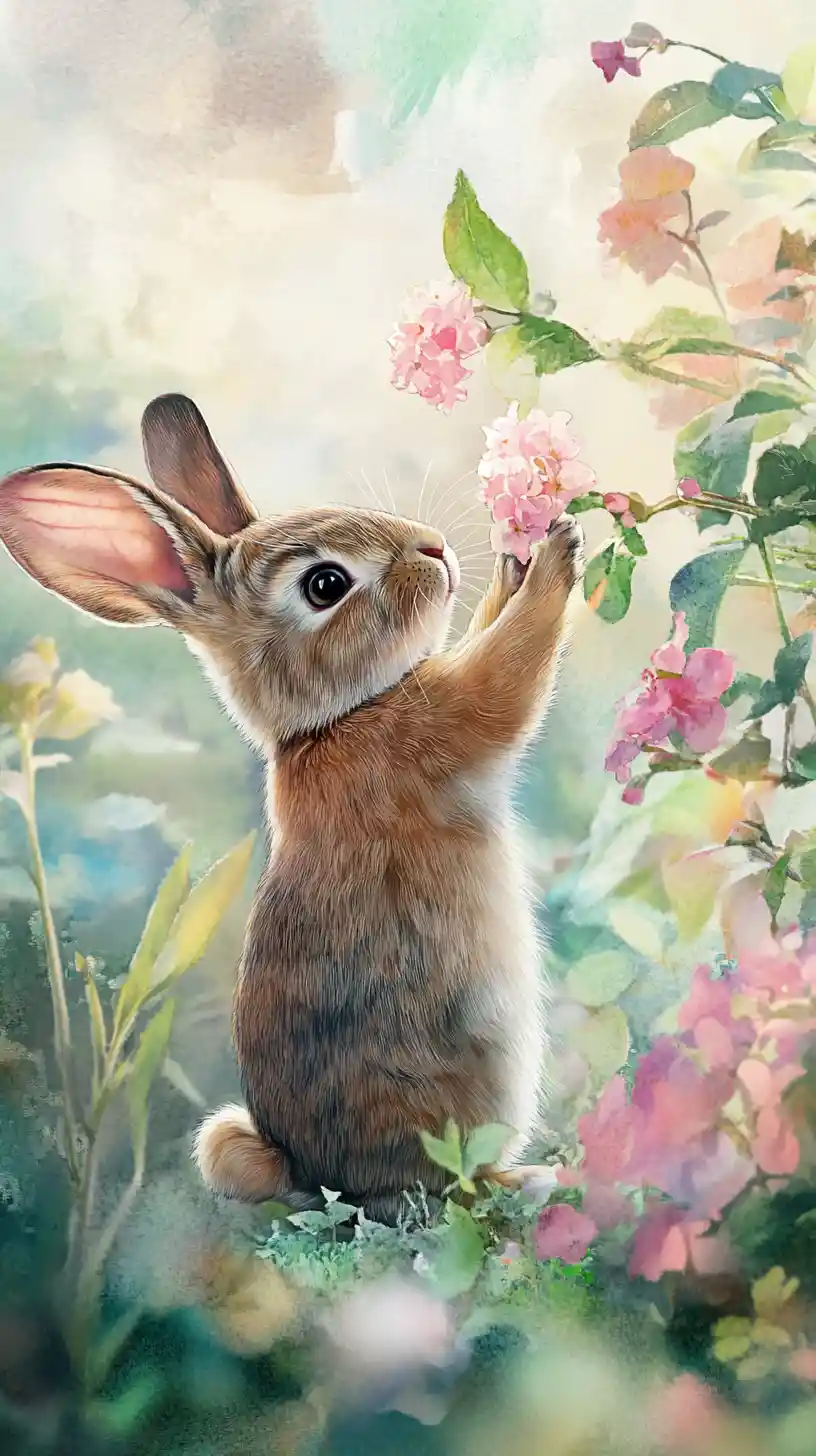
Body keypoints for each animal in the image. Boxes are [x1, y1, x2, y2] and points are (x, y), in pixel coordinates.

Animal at [0, 394, 584, 1221]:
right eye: (325, 585)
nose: (434, 549)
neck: (329, 721)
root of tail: (309, 1169)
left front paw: (517, 561)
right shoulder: (443, 725)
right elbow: (509, 669)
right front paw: (557, 557)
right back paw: (530, 1181)